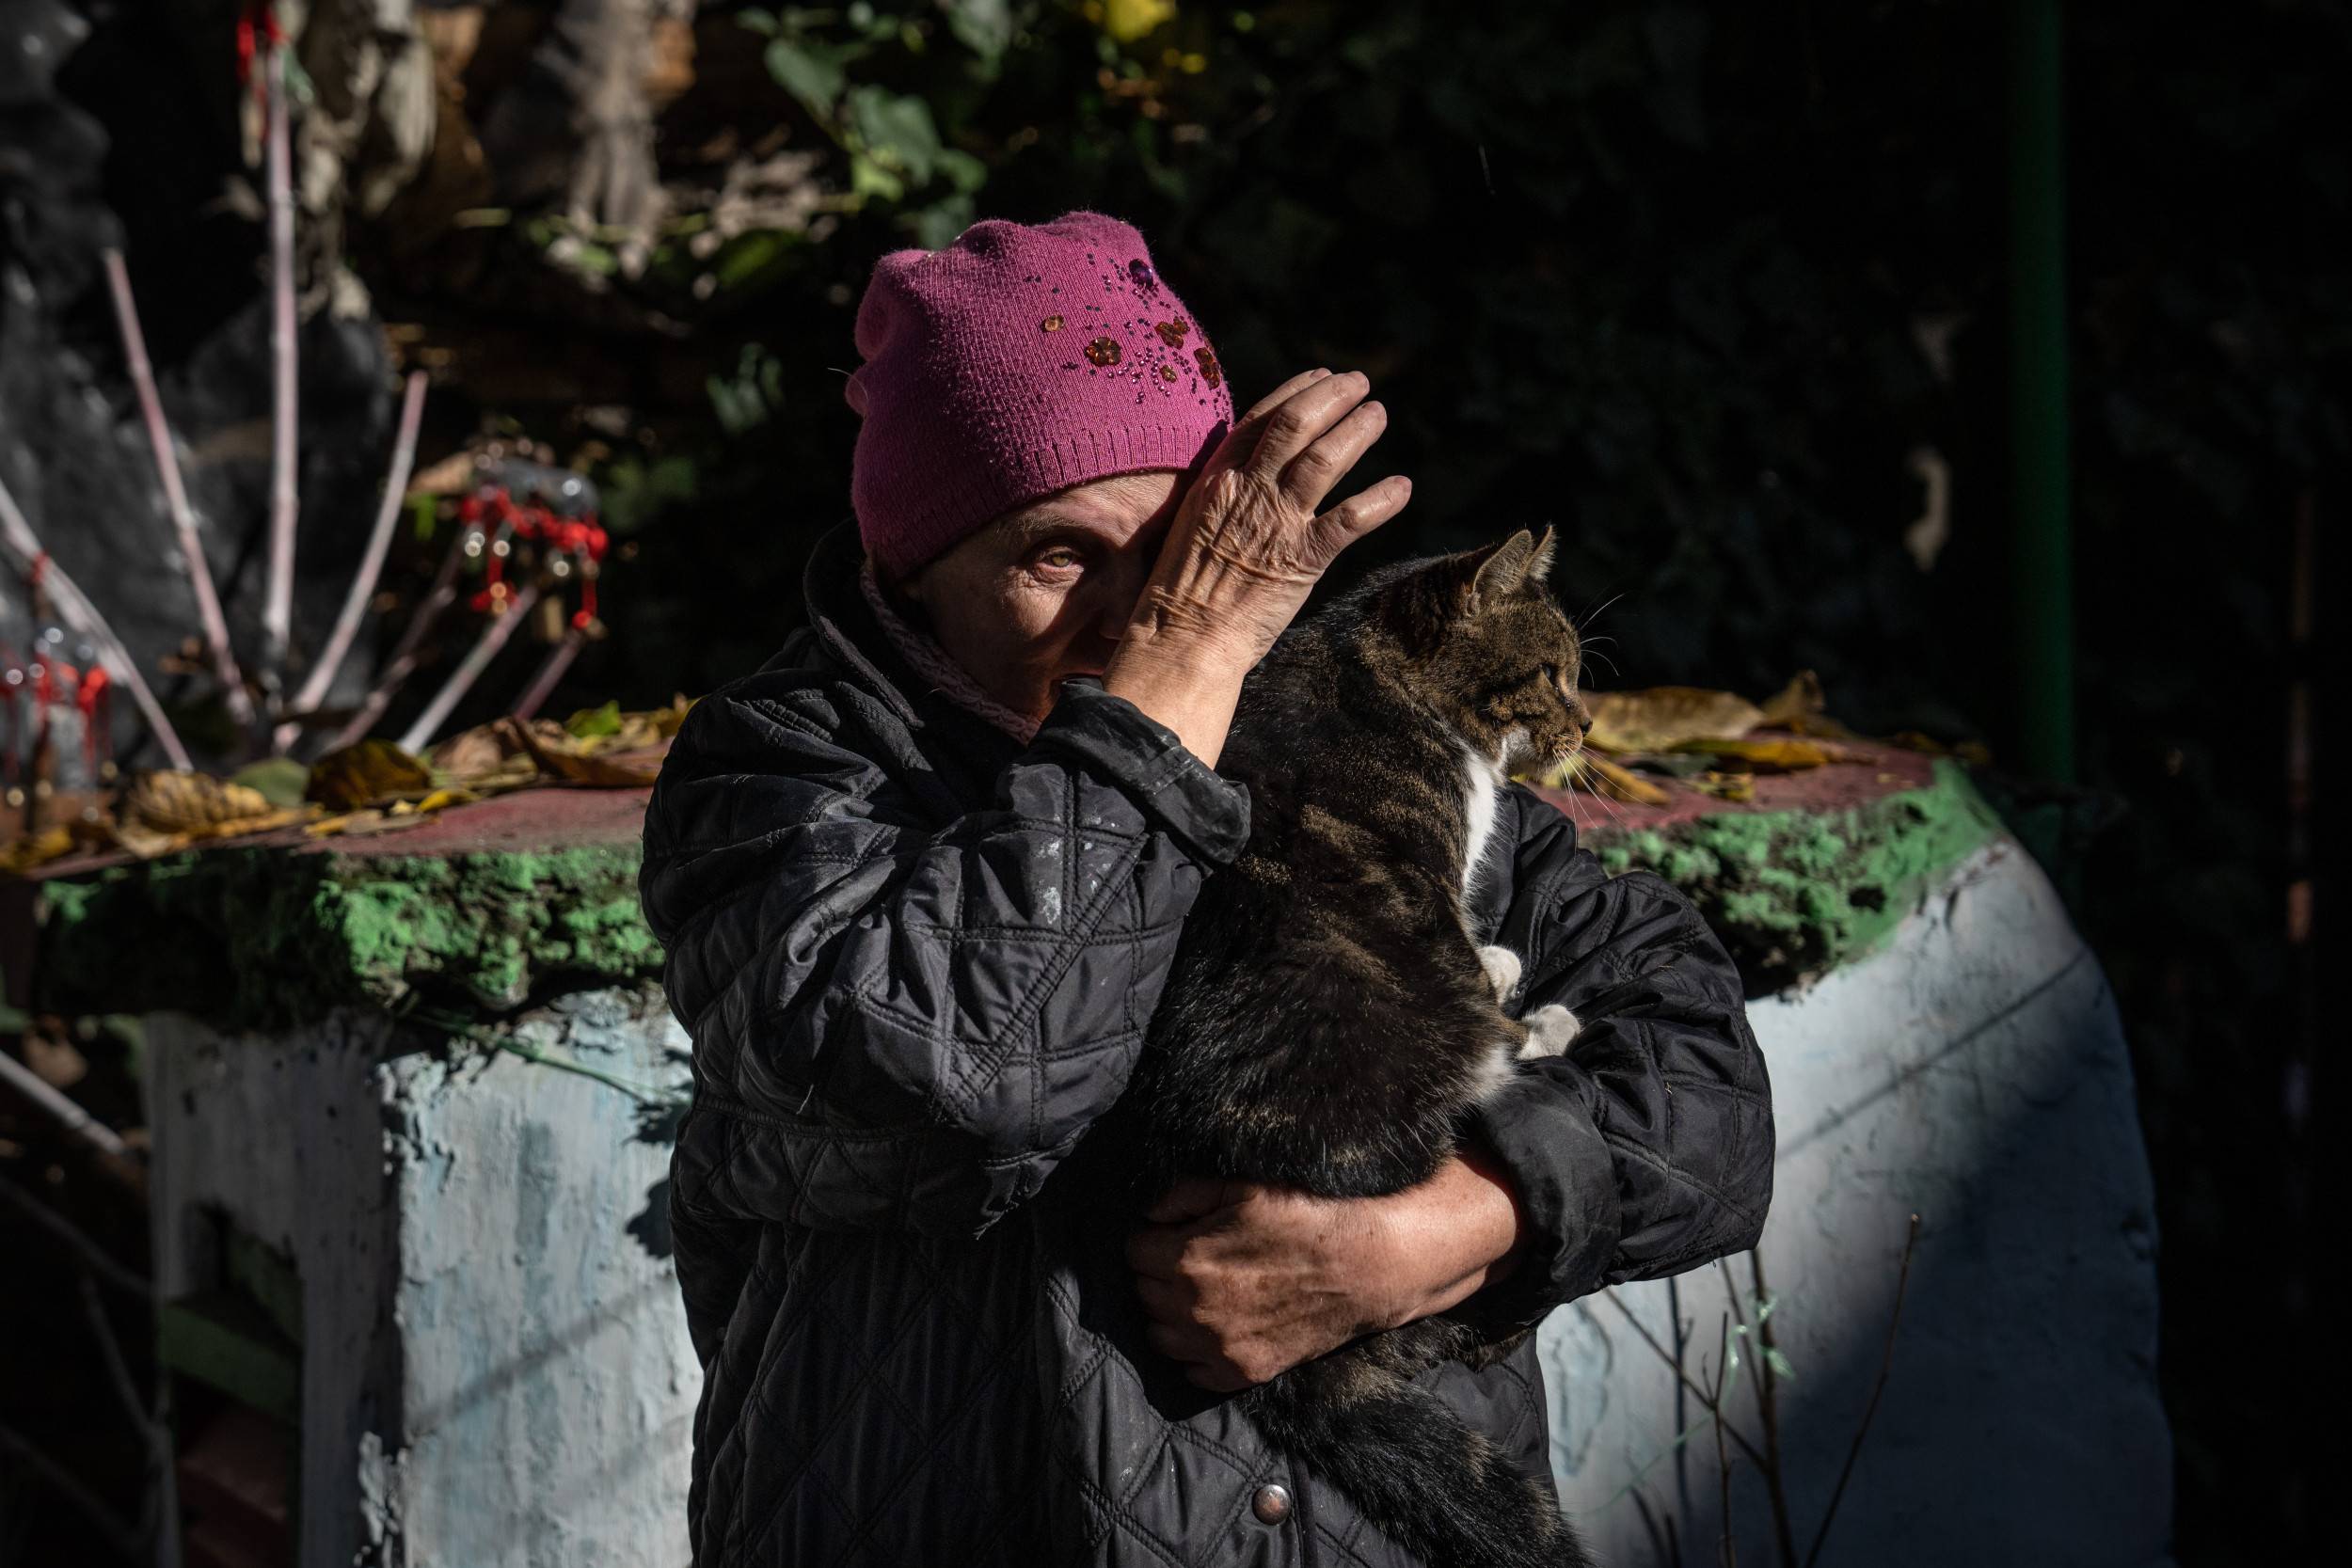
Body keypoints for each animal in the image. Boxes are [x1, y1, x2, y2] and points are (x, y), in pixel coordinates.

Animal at [1129, 531, 1590, 1568]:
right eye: (1553, 672)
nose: (1589, 724)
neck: (1379, 667)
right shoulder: (1429, 882)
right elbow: (1472, 967)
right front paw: (1516, 985)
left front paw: (1503, 959)